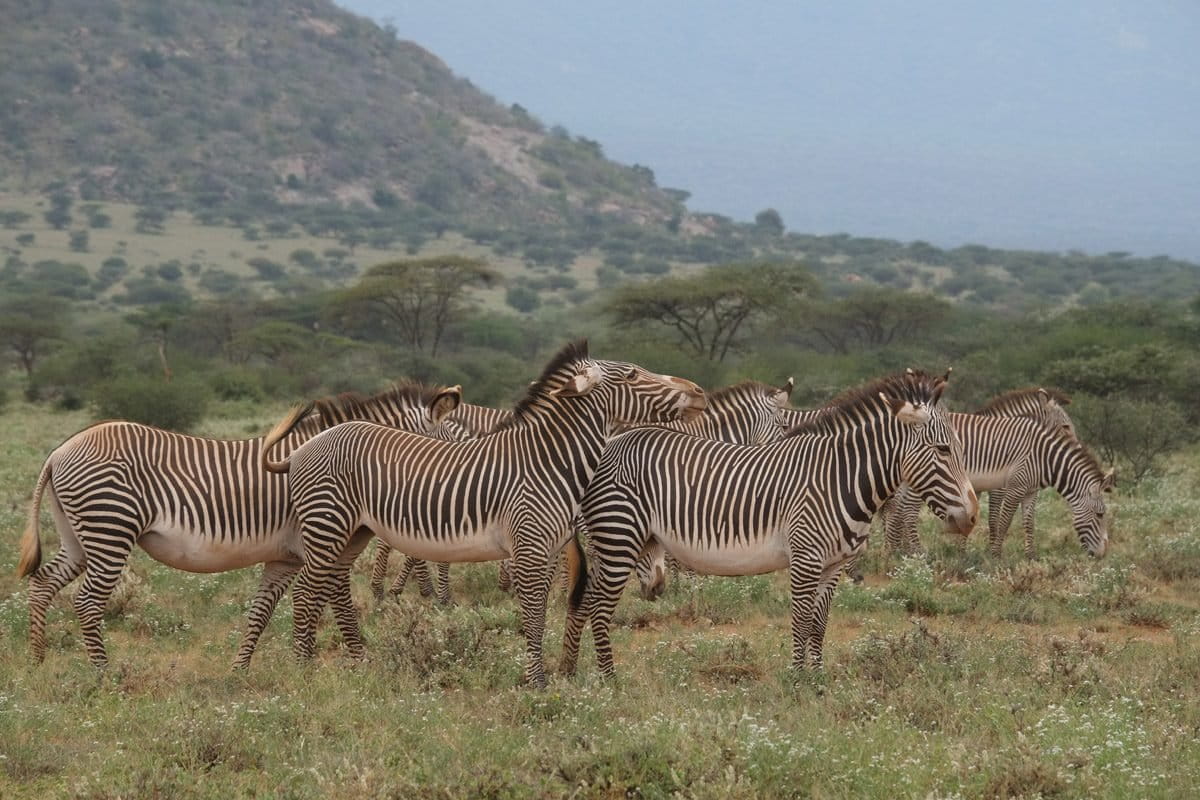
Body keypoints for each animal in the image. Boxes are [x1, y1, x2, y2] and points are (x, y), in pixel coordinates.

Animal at [17, 382, 463, 669]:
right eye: (446, 445)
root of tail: (59, 450)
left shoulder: (288, 555)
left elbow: (261, 612)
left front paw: (240, 670)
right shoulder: (323, 542)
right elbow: (338, 602)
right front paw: (358, 660)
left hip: (79, 536)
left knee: (43, 584)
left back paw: (38, 661)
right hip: (110, 528)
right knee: (87, 601)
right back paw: (103, 673)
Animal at [262, 340, 707, 687]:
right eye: (631, 374)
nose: (700, 392)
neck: (549, 460)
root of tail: (301, 449)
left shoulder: (548, 548)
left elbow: (544, 607)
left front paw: (540, 676)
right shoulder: (529, 545)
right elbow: (533, 612)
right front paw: (538, 683)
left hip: (353, 531)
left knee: (324, 588)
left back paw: (336, 661)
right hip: (327, 525)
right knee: (305, 593)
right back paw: (303, 670)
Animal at [559, 370, 978, 679]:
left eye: (960, 447)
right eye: (943, 450)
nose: (972, 517)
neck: (839, 477)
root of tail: (607, 446)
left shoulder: (834, 565)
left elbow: (819, 623)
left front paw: (817, 679)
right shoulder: (806, 558)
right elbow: (801, 619)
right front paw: (797, 680)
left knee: (583, 601)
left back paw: (569, 672)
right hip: (618, 536)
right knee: (598, 607)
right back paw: (609, 681)